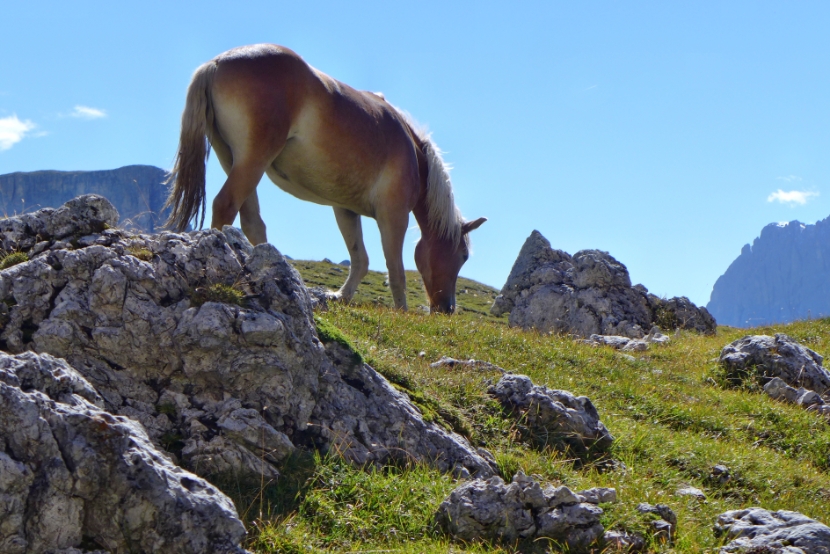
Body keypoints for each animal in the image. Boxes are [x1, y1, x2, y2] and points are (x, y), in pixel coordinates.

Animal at [165, 44, 486, 313]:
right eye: (463, 256)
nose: (447, 308)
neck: (413, 156)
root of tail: (216, 63)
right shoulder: (394, 216)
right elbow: (395, 269)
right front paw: (402, 313)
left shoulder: (345, 210)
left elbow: (360, 259)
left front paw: (341, 297)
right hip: (252, 160)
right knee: (226, 205)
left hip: (233, 160)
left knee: (251, 221)